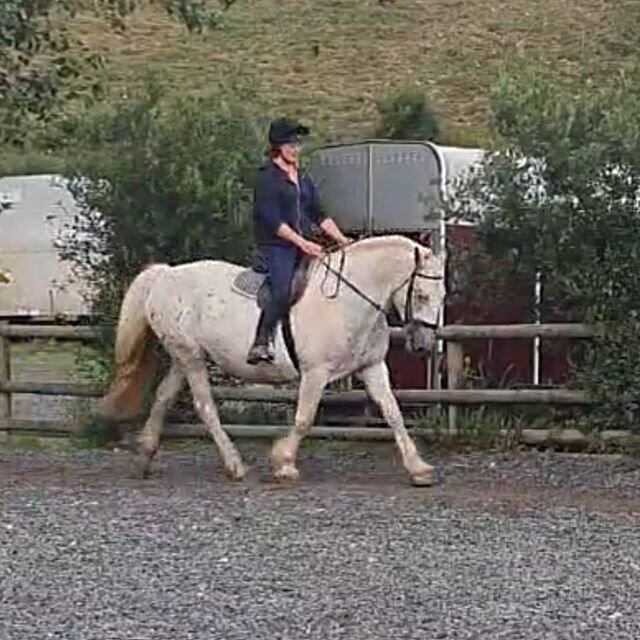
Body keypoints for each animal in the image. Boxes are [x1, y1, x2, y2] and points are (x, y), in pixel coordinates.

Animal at [100, 234, 448, 484]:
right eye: (421, 295)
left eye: (442, 297)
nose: (423, 344)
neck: (348, 299)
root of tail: (165, 274)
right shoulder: (316, 372)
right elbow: (305, 418)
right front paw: (283, 463)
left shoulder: (372, 367)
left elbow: (393, 413)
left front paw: (419, 468)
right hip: (192, 359)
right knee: (205, 407)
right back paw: (235, 465)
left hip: (184, 357)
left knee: (163, 397)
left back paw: (145, 455)